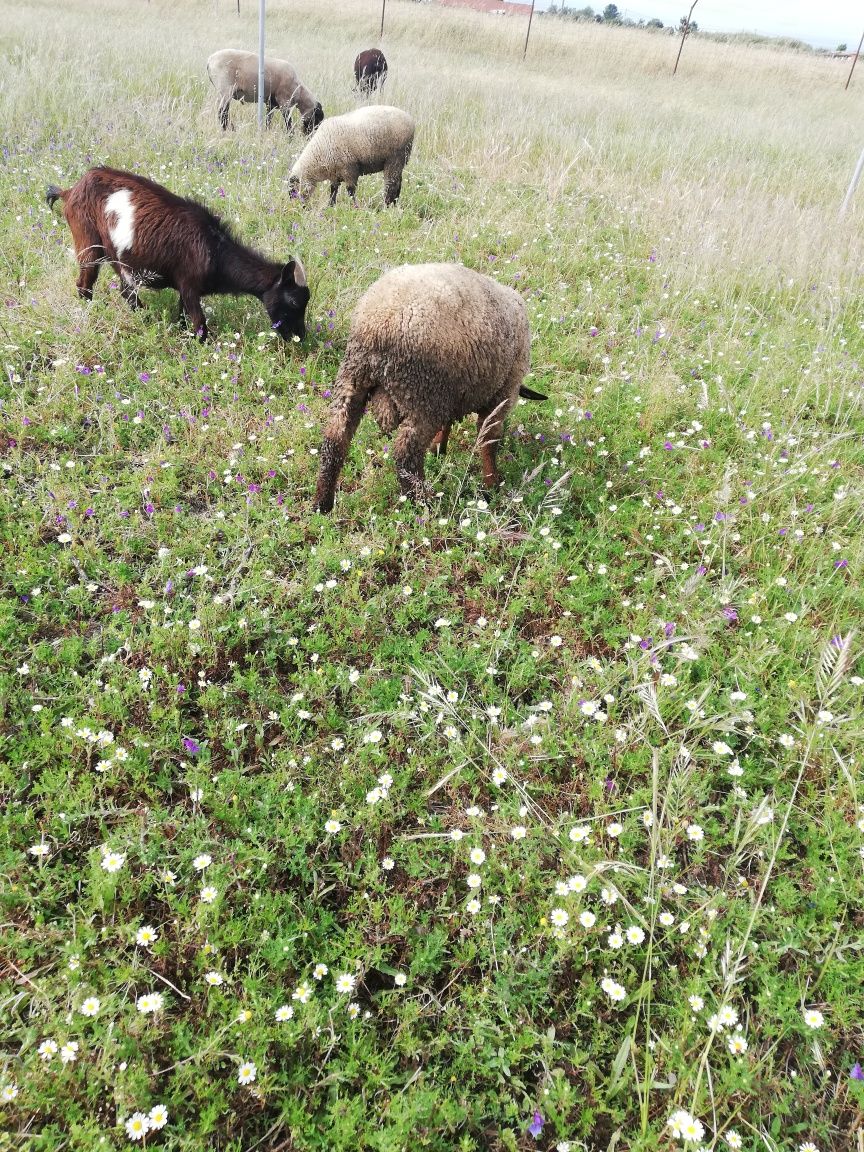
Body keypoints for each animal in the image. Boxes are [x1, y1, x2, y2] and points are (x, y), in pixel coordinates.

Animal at [45, 165, 311, 340]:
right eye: (294, 301)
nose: (300, 336)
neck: (215, 250)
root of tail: (70, 190)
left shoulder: (185, 290)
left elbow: (183, 317)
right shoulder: (190, 285)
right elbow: (200, 324)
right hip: (88, 241)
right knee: (89, 284)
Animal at [313, 263, 548, 516]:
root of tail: (380, 326)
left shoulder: (451, 394)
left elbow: (449, 424)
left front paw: (438, 449)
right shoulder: (503, 392)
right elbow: (488, 439)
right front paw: (493, 484)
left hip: (353, 381)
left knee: (335, 441)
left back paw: (322, 505)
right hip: (422, 395)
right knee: (405, 455)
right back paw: (421, 505)